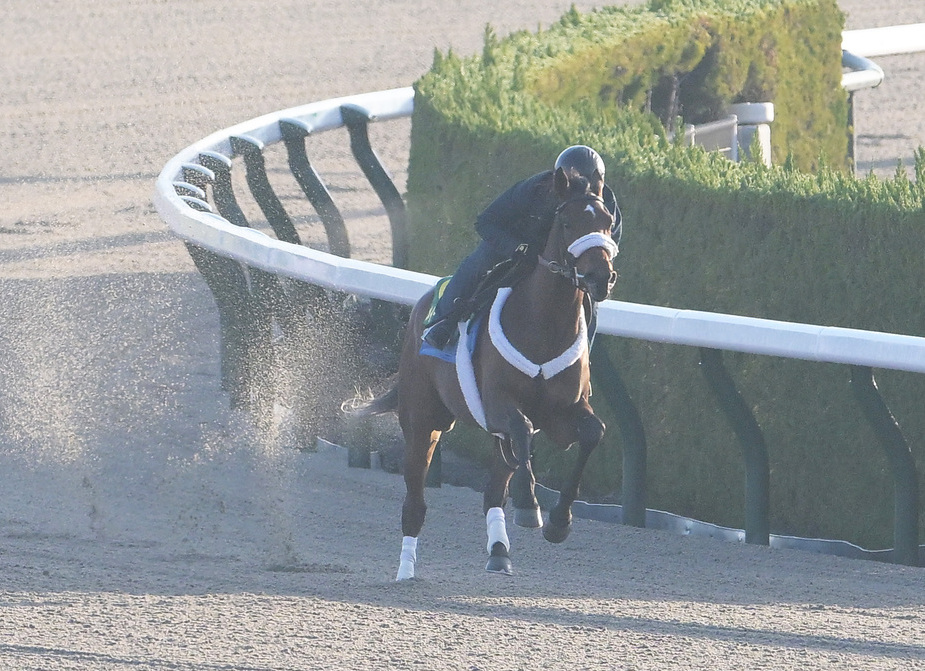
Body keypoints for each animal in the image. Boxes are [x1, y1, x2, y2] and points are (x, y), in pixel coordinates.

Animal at [360, 165, 612, 580]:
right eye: (567, 221)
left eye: (607, 223)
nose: (600, 277)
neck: (544, 324)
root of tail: (419, 309)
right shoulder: (499, 404)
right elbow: (523, 430)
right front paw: (529, 504)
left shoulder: (563, 413)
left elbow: (593, 433)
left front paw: (559, 522)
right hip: (422, 421)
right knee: (415, 499)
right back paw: (406, 570)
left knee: (494, 489)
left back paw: (499, 551)